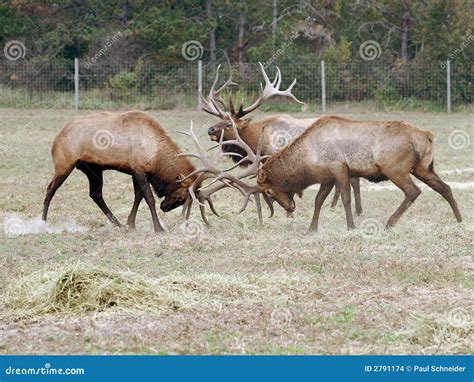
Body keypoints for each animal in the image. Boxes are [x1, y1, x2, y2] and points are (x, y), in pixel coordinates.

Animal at [41, 109, 203, 231]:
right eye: (181, 197)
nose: (164, 207)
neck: (156, 156)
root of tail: (56, 139)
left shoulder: (135, 171)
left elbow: (138, 196)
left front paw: (130, 224)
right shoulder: (138, 169)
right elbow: (149, 198)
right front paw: (158, 228)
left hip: (93, 169)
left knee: (95, 194)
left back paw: (117, 223)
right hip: (63, 165)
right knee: (50, 189)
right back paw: (42, 222)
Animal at [258, 115, 462, 231]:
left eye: (268, 191)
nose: (290, 208)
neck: (309, 157)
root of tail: (427, 135)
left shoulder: (339, 167)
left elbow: (345, 197)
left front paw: (351, 226)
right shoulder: (328, 176)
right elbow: (319, 200)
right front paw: (312, 228)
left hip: (394, 168)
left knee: (413, 191)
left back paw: (389, 223)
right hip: (423, 168)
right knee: (445, 188)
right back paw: (460, 219)